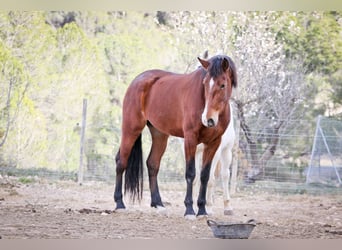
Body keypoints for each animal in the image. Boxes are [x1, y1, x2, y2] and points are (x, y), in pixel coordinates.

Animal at [113, 54, 236, 219]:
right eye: (204, 84)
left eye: (222, 85)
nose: (207, 119)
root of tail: (138, 80)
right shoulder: (190, 140)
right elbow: (191, 173)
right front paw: (189, 210)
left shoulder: (214, 143)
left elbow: (205, 175)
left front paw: (202, 210)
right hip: (131, 128)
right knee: (121, 161)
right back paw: (119, 203)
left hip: (159, 134)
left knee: (152, 164)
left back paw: (158, 204)